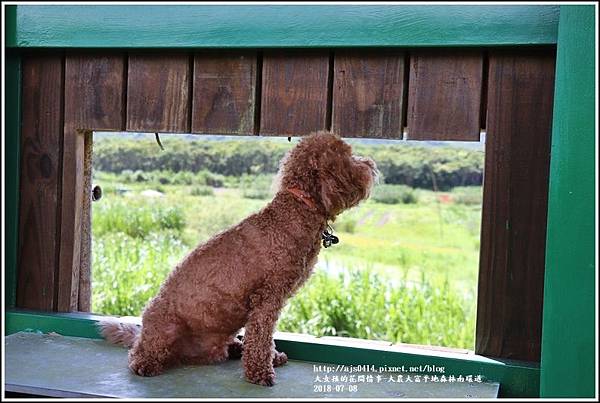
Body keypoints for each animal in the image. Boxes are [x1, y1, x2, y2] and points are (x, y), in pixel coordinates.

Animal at [101, 131, 378, 386]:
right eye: (349, 156)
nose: (371, 165)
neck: (294, 211)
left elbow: (264, 339)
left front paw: (272, 358)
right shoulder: (267, 299)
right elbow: (260, 338)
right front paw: (260, 373)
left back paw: (235, 347)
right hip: (164, 328)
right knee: (137, 357)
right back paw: (147, 363)